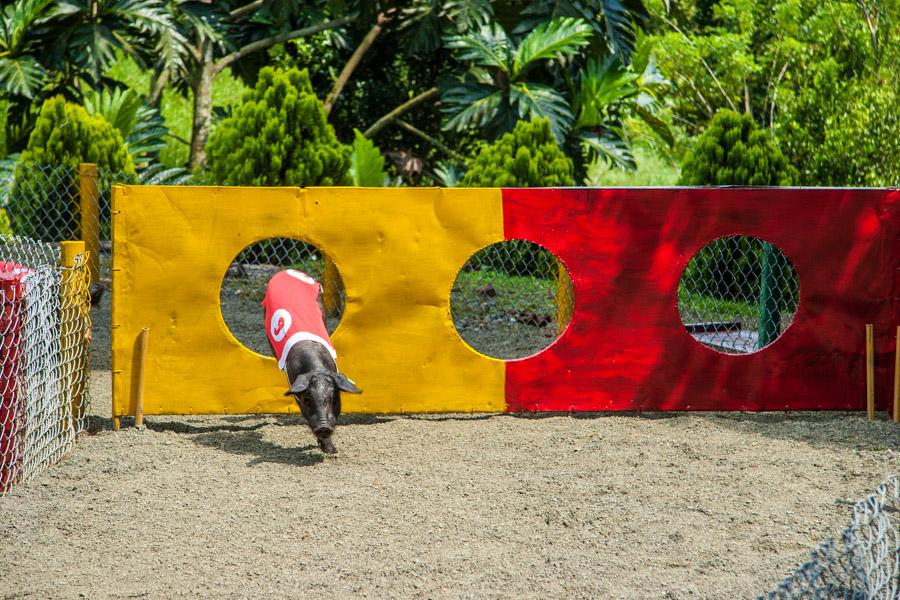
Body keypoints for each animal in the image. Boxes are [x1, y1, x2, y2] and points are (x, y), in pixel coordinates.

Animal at [262, 270, 360, 452]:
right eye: (307, 399)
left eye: (334, 398)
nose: (324, 426)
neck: (316, 368)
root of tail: (287, 271)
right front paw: (329, 449)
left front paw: (332, 451)